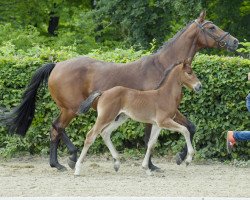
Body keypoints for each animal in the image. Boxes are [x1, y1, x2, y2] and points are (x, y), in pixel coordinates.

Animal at [73, 58, 201, 175]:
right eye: (189, 72)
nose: (199, 86)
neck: (165, 95)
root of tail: (104, 92)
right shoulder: (164, 121)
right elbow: (185, 130)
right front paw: (188, 159)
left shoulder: (158, 124)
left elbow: (151, 143)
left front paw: (146, 168)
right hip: (105, 117)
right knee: (91, 136)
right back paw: (77, 169)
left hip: (120, 117)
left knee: (105, 133)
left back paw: (117, 163)